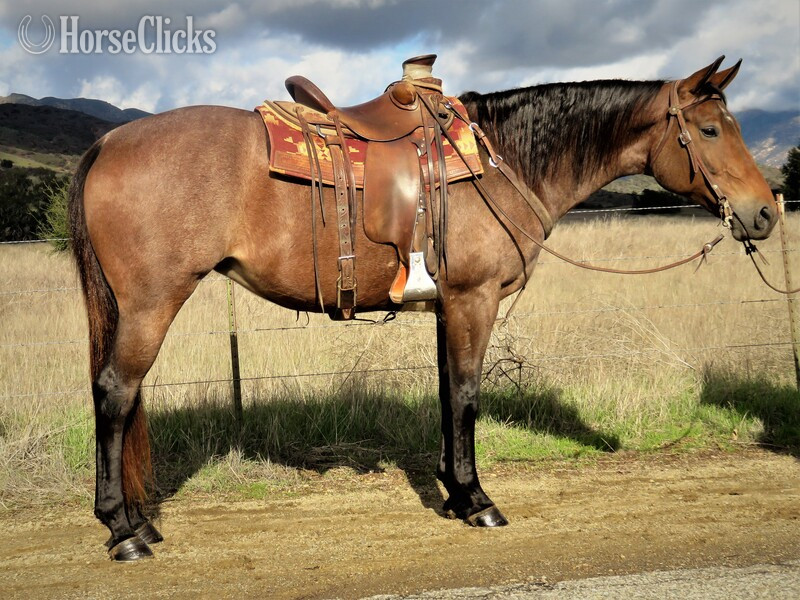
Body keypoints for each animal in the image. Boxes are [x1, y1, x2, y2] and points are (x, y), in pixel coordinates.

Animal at [68, 56, 776, 560]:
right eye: (709, 130)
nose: (766, 212)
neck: (502, 158)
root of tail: (108, 143)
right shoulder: (473, 301)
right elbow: (465, 396)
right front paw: (478, 499)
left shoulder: (446, 307)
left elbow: (445, 393)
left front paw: (454, 492)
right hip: (151, 305)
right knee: (115, 393)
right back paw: (124, 531)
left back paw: (137, 524)